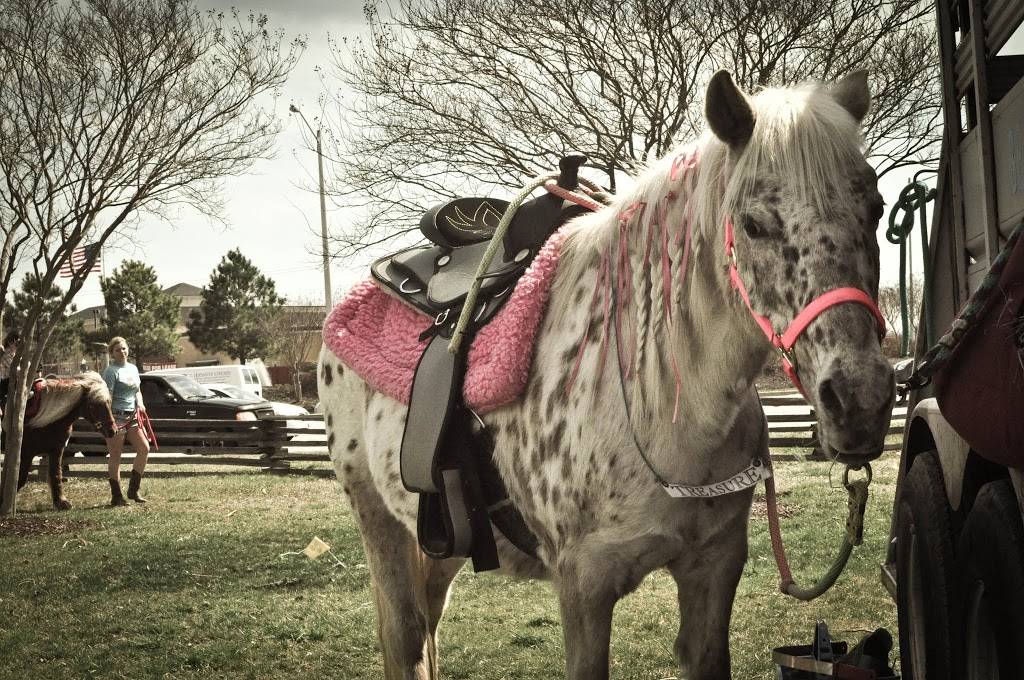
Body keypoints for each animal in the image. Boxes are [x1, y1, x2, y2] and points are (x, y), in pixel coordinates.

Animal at [5, 372, 117, 510]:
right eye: (93, 405)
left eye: (109, 403)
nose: (113, 430)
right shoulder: (26, 453)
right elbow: (19, 478)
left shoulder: (56, 450)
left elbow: (56, 475)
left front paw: (61, 502)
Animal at [319, 71, 897, 675]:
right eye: (754, 224)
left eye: (877, 209)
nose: (860, 399)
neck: (660, 410)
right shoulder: (584, 586)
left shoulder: (714, 569)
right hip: (378, 520)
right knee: (406, 635)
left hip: (437, 538)